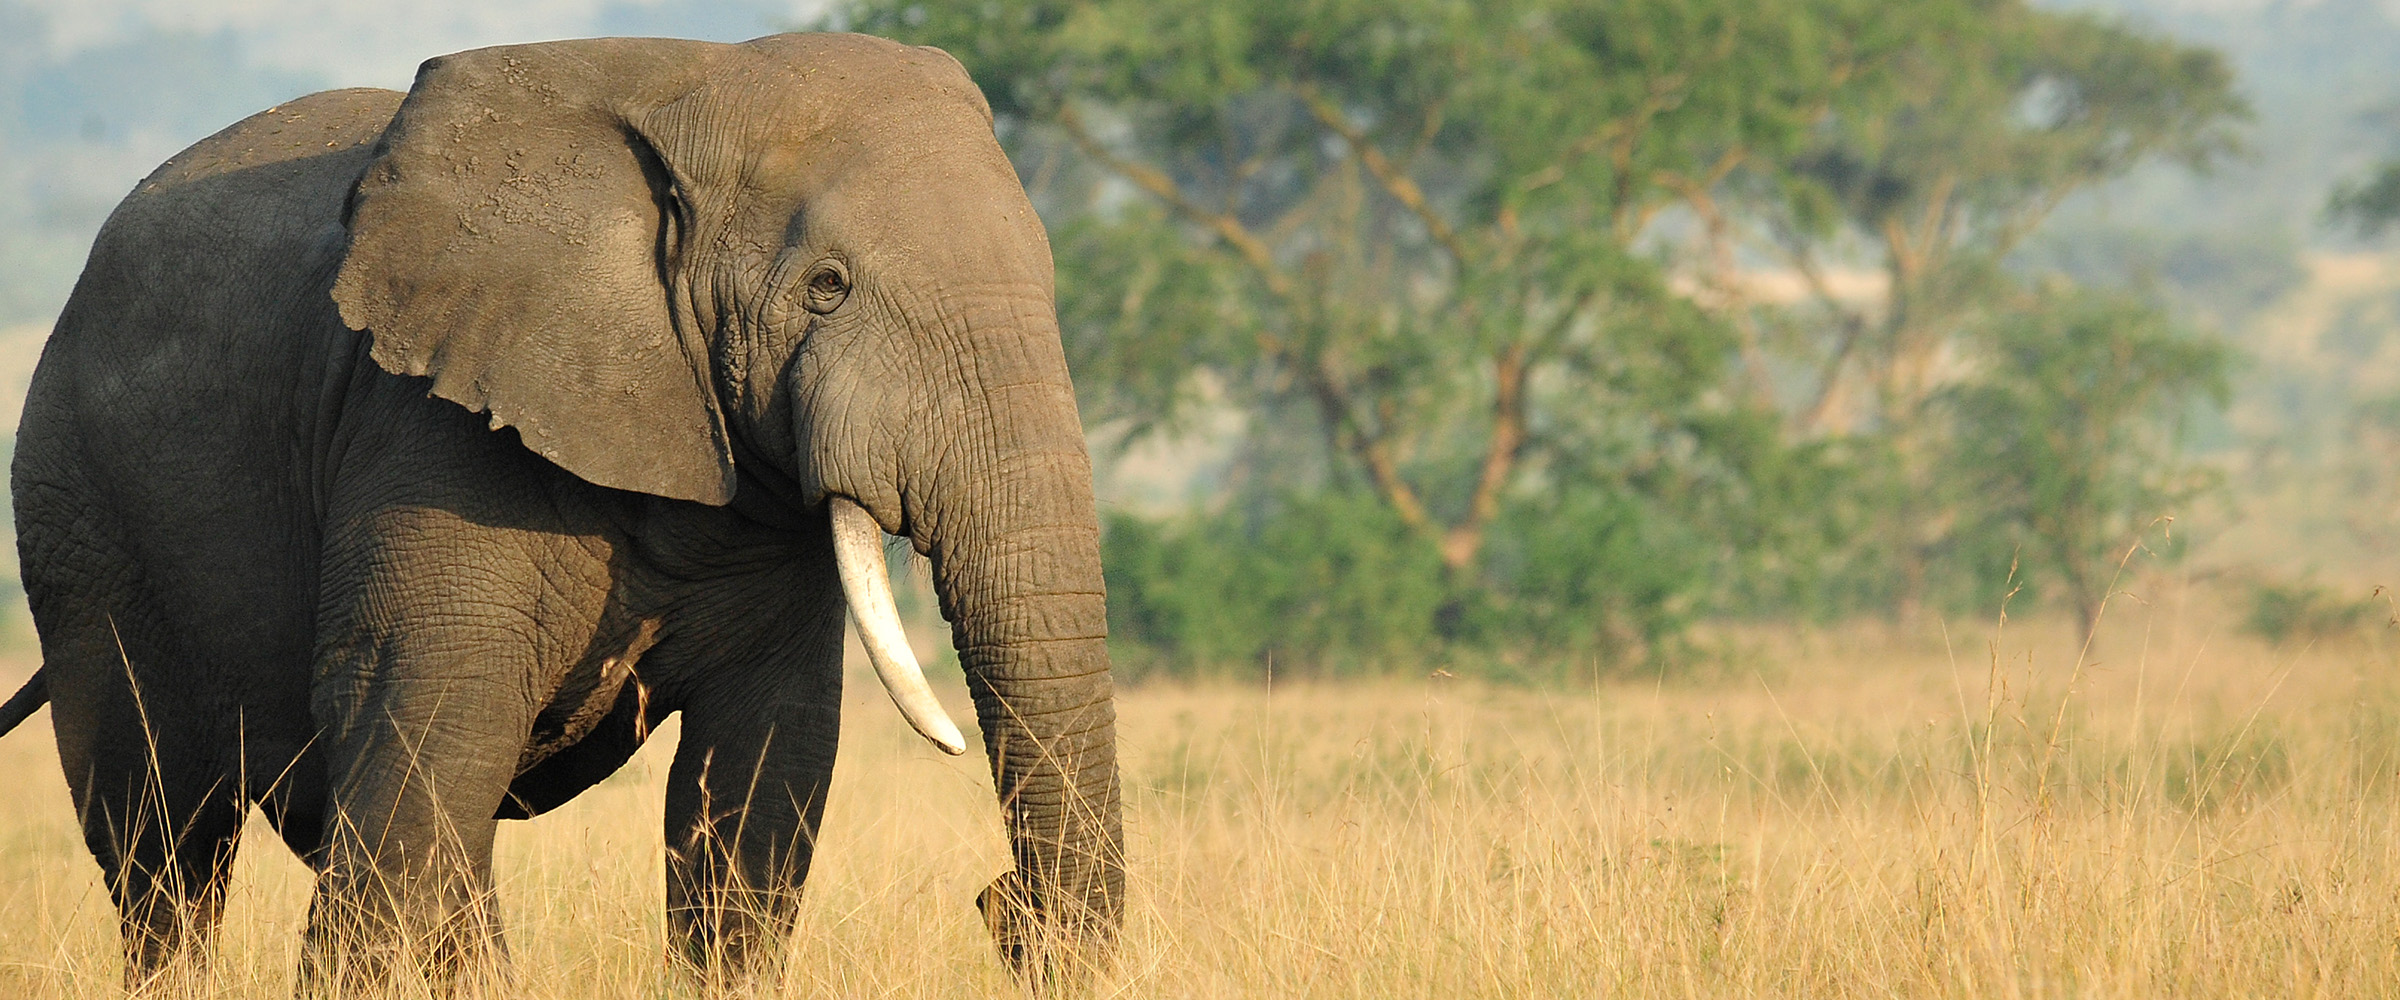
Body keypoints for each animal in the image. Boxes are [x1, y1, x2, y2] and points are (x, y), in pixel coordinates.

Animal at [0, 31, 1121, 992]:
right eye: (827, 286)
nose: (1005, 905)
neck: (692, 86)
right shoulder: (426, 422)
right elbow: (424, 722)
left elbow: (763, 767)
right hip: (78, 511)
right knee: (165, 842)